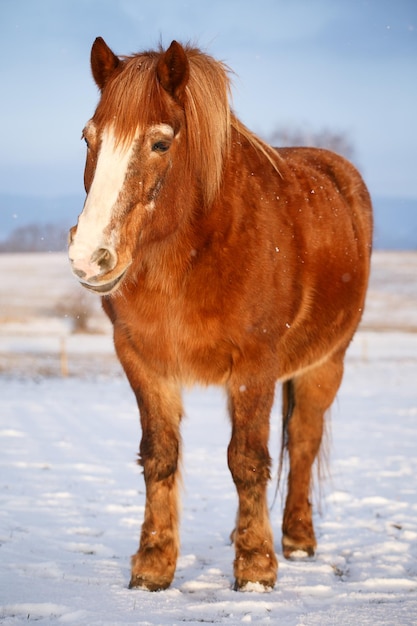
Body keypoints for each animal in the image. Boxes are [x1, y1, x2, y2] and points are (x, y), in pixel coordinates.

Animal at [69, 36, 374, 592]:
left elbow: (248, 460)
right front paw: (153, 564)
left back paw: (297, 540)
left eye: (160, 144)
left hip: (326, 363)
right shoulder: (142, 361)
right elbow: (159, 455)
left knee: (303, 441)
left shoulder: (256, 365)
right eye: (88, 138)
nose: (89, 256)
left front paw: (255, 568)